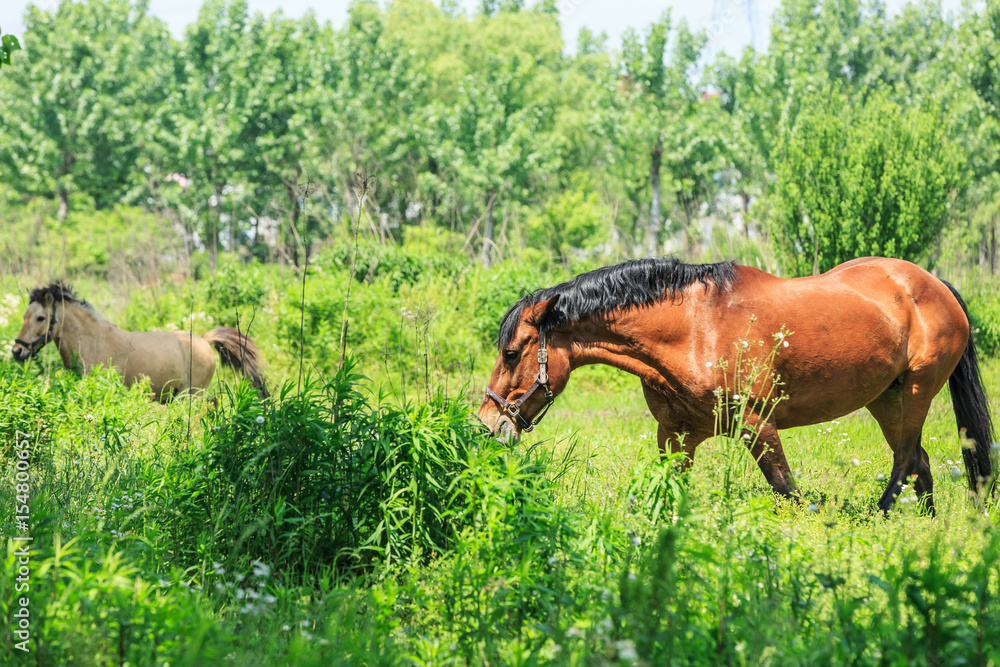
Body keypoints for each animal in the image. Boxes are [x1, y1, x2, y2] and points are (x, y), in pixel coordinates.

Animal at [11, 282, 268, 402]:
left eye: (40, 317)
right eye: (24, 316)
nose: (17, 351)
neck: (92, 341)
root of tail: (204, 340)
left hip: (191, 395)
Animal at [480, 258, 996, 516]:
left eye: (513, 353)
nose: (487, 424)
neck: (694, 328)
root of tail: (934, 285)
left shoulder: (757, 424)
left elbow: (787, 490)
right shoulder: (676, 435)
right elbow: (665, 494)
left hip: (917, 390)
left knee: (906, 458)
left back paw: (883, 514)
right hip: (886, 399)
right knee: (919, 461)